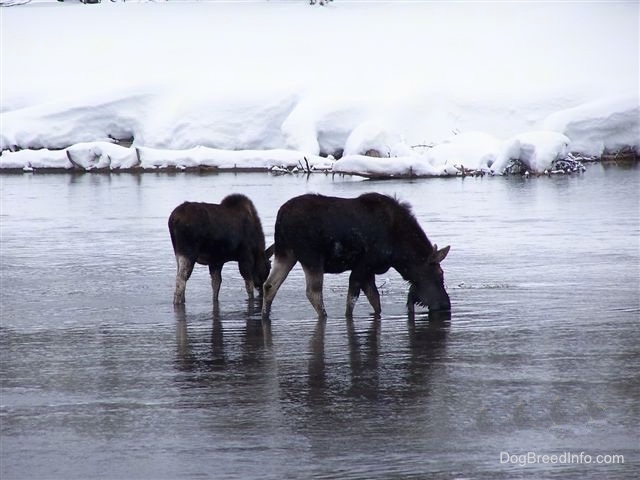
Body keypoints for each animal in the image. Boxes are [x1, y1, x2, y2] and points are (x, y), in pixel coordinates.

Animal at [260, 193, 450, 320]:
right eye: (440, 273)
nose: (445, 304)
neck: (399, 253)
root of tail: (280, 217)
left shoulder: (369, 271)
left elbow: (375, 301)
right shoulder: (363, 265)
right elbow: (352, 301)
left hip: (286, 253)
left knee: (269, 285)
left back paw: (264, 315)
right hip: (311, 257)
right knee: (313, 292)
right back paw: (324, 315)